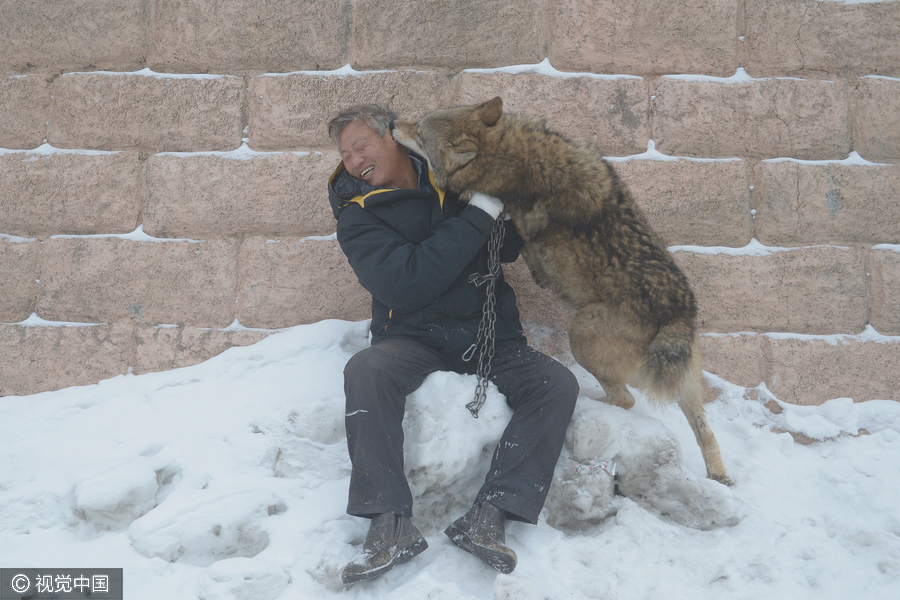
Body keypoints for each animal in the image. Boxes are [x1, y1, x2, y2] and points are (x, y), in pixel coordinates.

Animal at [394, 96, 732, 486]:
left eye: (419, 130)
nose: (391, 124)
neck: (513, 153)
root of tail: (678, 313)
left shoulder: (520, 227)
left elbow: (526, 245)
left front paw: (538, 272)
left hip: (580, 334)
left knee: (626, 400)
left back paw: (590, 401)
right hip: (687, 386)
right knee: (705, 432)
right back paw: (719, 475)